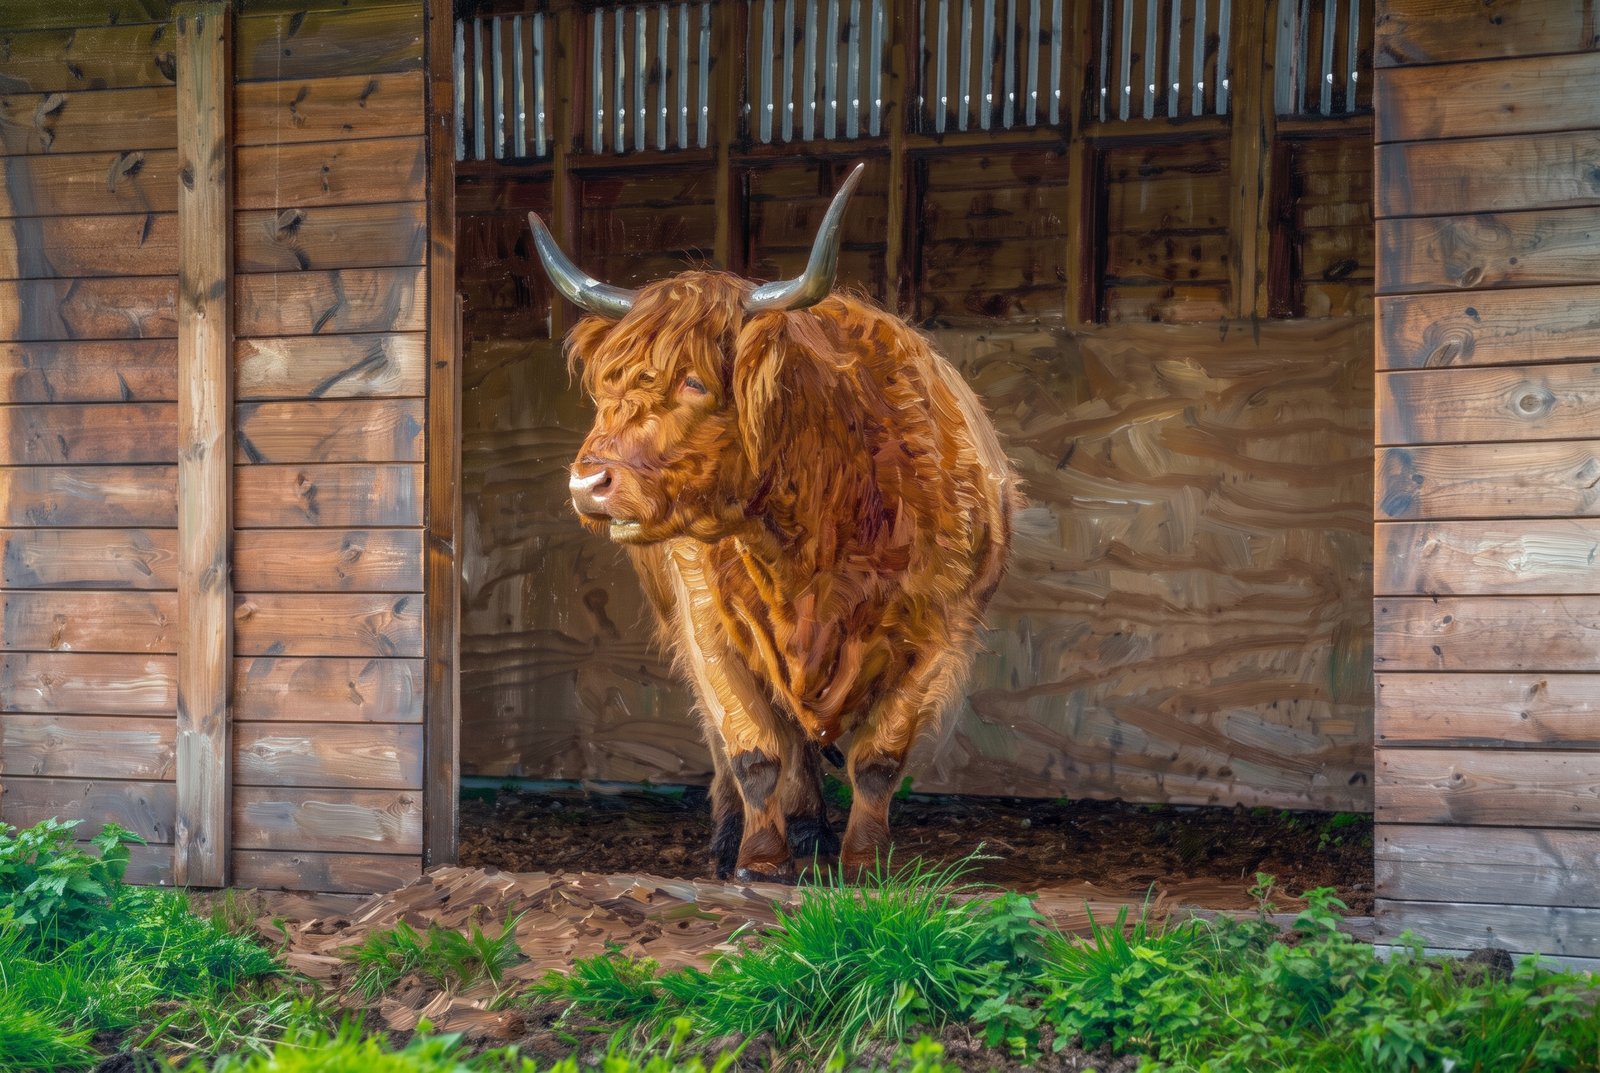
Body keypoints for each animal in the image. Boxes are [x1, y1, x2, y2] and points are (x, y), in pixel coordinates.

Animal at [527, 165, 1019, 883]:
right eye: (607, 384)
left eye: (696, 383)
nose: (587, 484)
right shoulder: (709, 627)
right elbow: (753, 748)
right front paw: (759, 860)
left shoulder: (943, 630)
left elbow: (879, 756)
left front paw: (865, 860)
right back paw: (751, 831)